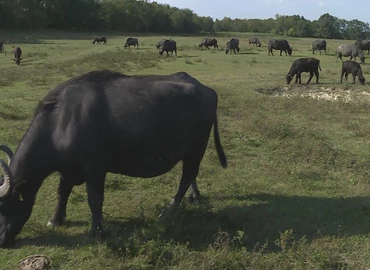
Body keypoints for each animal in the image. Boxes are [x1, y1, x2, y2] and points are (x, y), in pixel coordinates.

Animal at [0, 69, 227, 247]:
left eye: (3, 207)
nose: (2, 242)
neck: (61, 122)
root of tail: (207, 90)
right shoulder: (68, 169)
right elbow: (62, 192)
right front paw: (56, 219)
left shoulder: (95, 169)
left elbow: (94, 199)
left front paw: (96, 230)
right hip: (189, 152)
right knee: (191, 175)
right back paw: (194, 197)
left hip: (197, 148)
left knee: (186, 176)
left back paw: (168, 211)